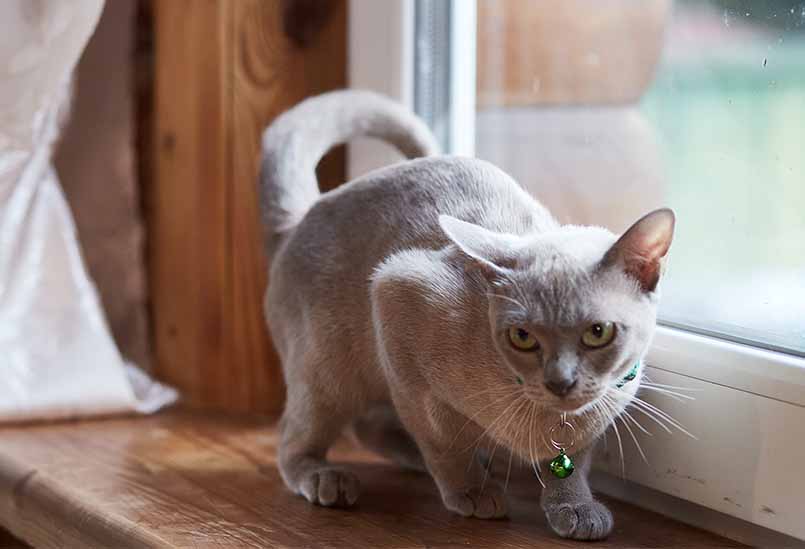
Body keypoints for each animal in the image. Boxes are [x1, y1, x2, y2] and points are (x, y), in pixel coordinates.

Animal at [260, 90, 672, 540]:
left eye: (598, 332)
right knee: (297, 438)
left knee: (369, 424)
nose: (560, 382)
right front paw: (472, 494)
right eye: (522, 337)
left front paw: (574, 508)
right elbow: (444, 443)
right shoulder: (396, 295)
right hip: (330, 371)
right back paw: (330, 479)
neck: (545, 417)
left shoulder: (588, 429)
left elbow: (570, 465)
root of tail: (303, 214)